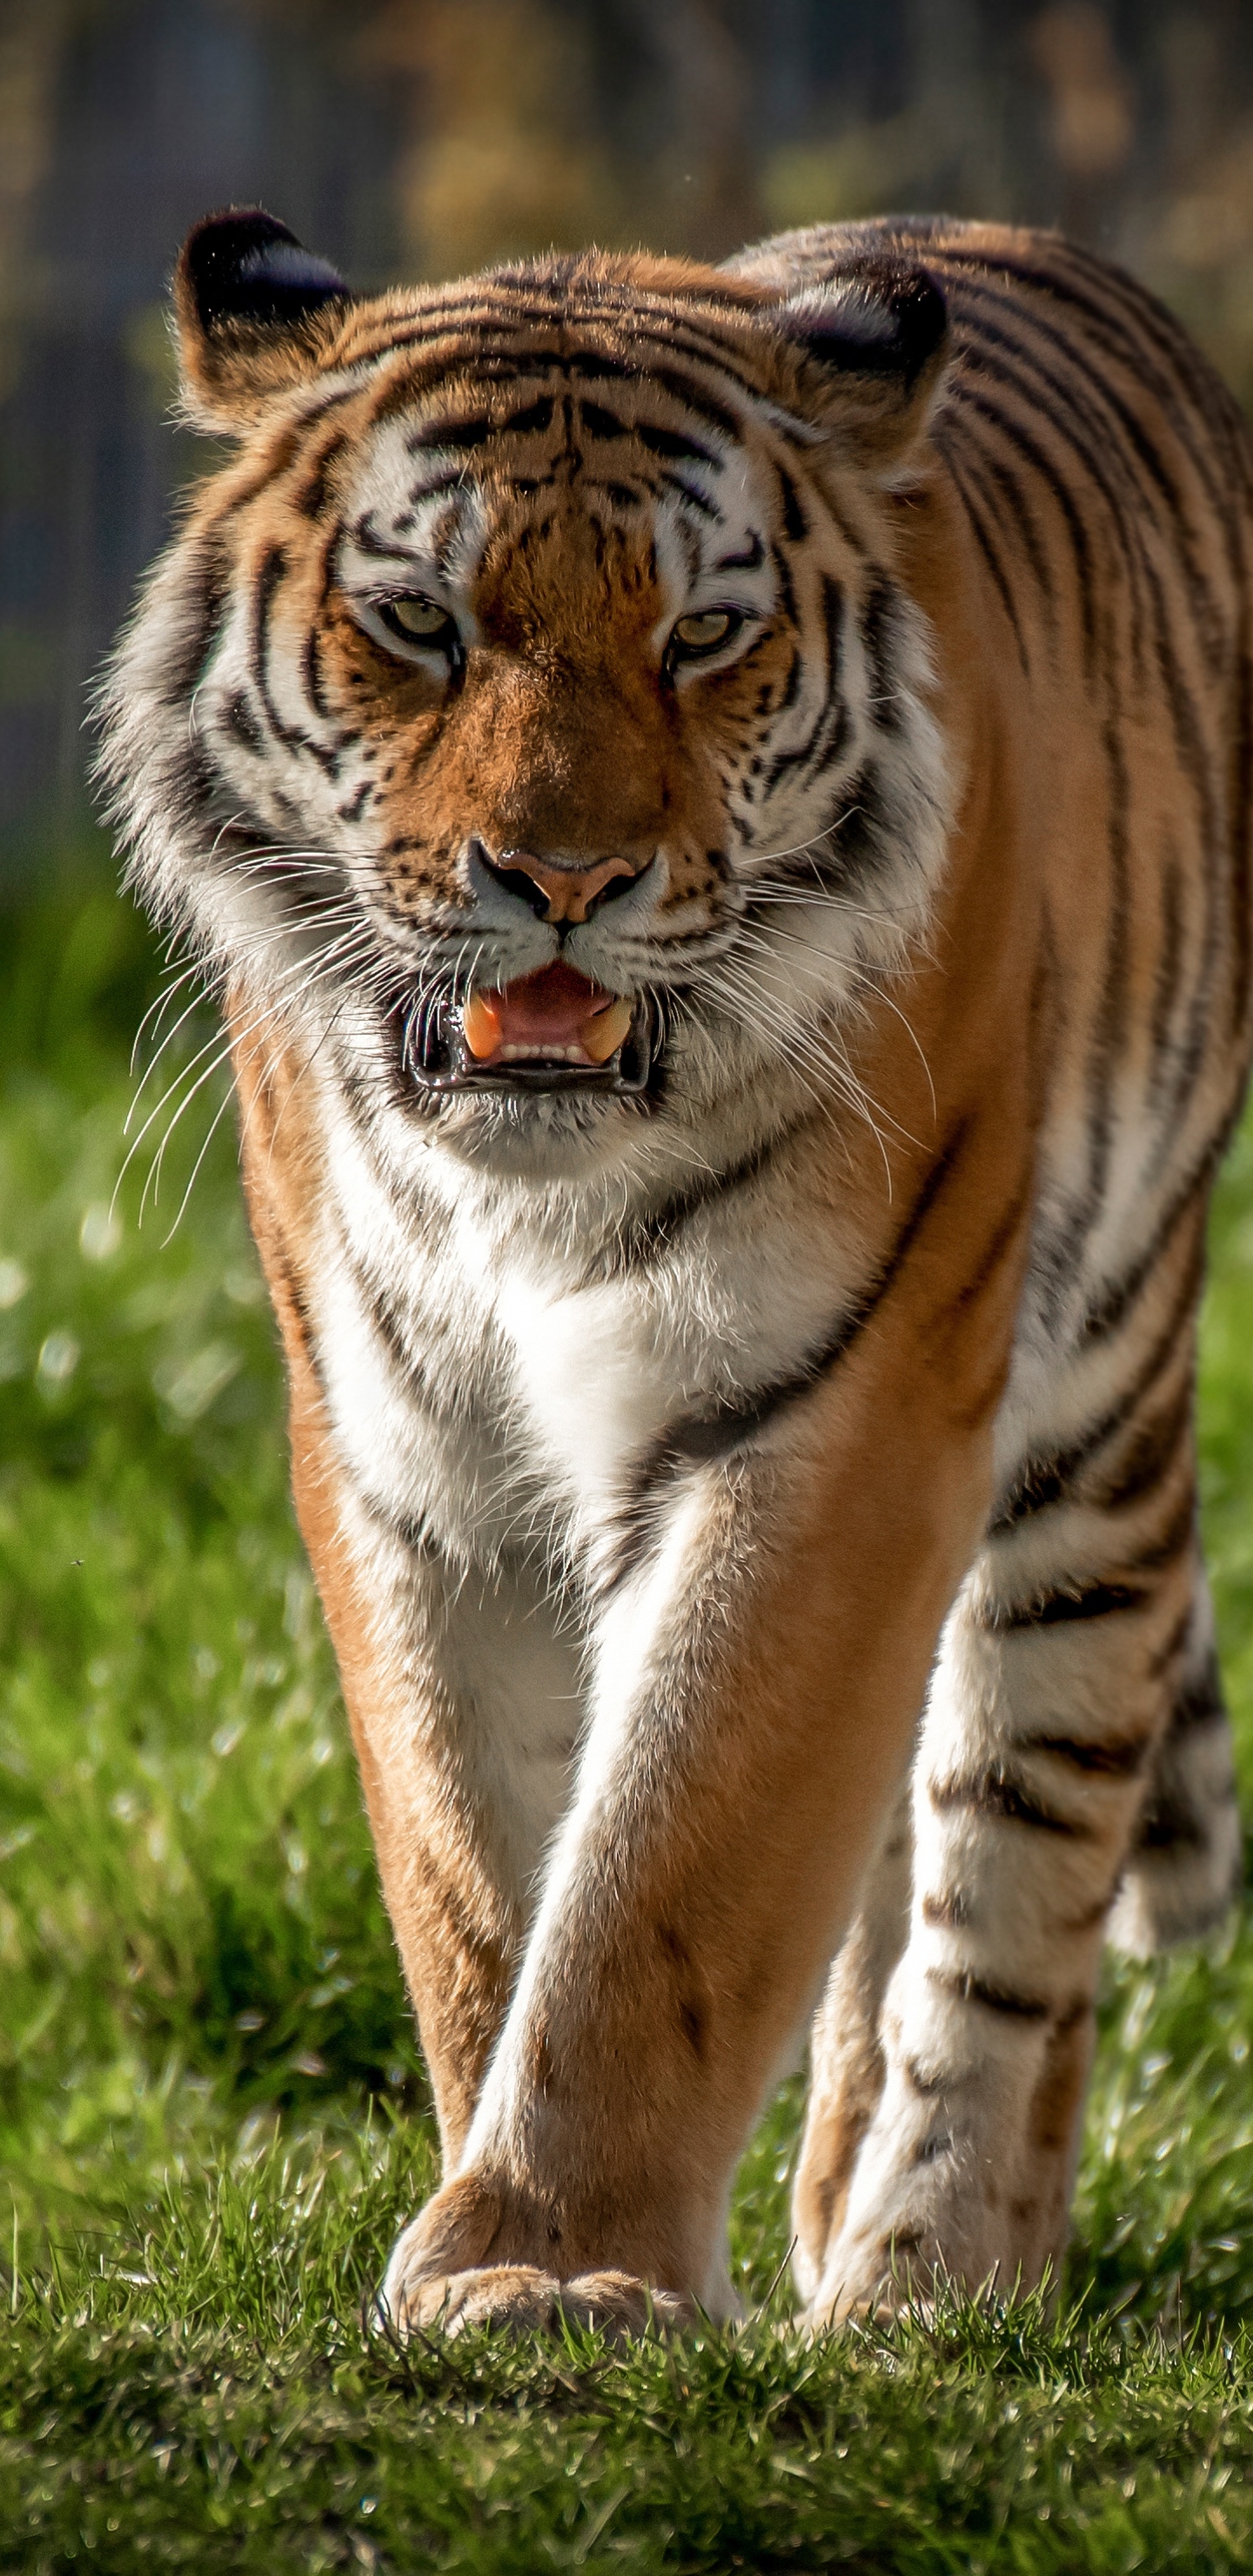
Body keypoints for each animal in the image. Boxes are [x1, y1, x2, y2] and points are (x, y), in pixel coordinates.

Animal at [100, 200, 1253, 2338]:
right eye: (424, 623)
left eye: (702, 639)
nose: (561, 879)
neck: (526, 1193)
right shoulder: (404, 1458)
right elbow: (479, 1866)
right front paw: (507, 2230)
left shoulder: (841, 1408)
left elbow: (679, 1856)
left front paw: (557, 2264)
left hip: (1095, 1417)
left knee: (1018, 1847)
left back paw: (933, 2269)